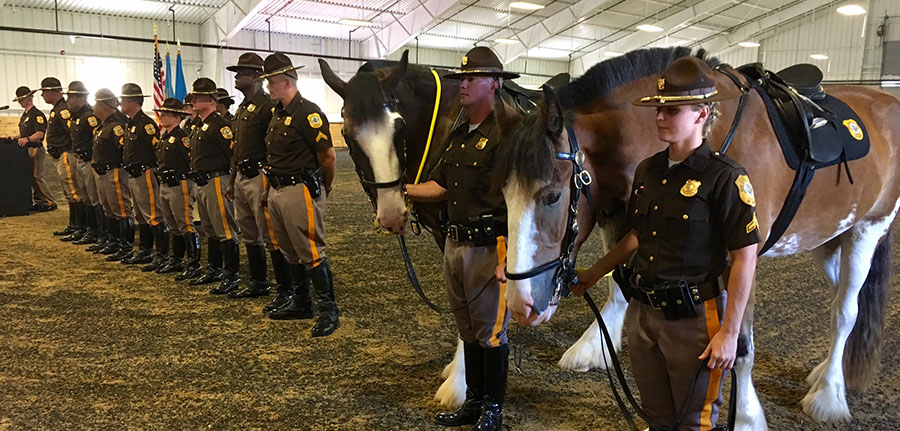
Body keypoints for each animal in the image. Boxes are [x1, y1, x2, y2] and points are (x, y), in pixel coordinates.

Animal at [496, 46, 896, 428]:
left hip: (866, 230)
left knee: (845, 312)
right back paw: (825, 374)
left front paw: (747, 417)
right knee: (843, 300)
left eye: (552, 196)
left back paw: (828, 395)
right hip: (828, 239)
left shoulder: (740, 256)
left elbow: (739, 346)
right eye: (503, 193)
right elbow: (619, 289)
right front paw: (593, 347)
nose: (521, 304)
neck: (707, 136)